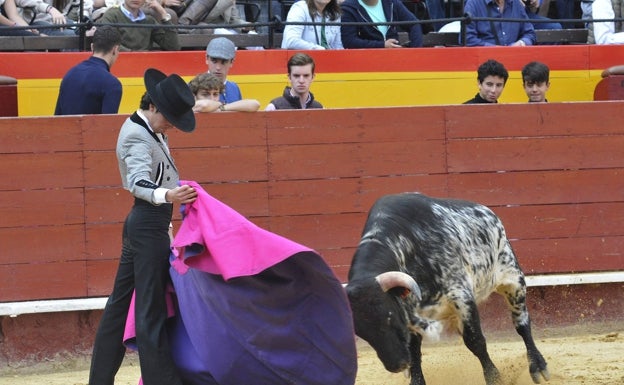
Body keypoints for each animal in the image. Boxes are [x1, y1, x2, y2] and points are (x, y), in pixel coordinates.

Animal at [346, 194, 552, 384]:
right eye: (359, 331)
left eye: (389, 316)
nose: (396, 365)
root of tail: (489, 212)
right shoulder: (411, 314)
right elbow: (414, 352)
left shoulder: (462, 297)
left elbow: (475, 341)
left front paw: (495, 378)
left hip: (513, 280)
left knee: (522, 324)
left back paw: (538, 366)